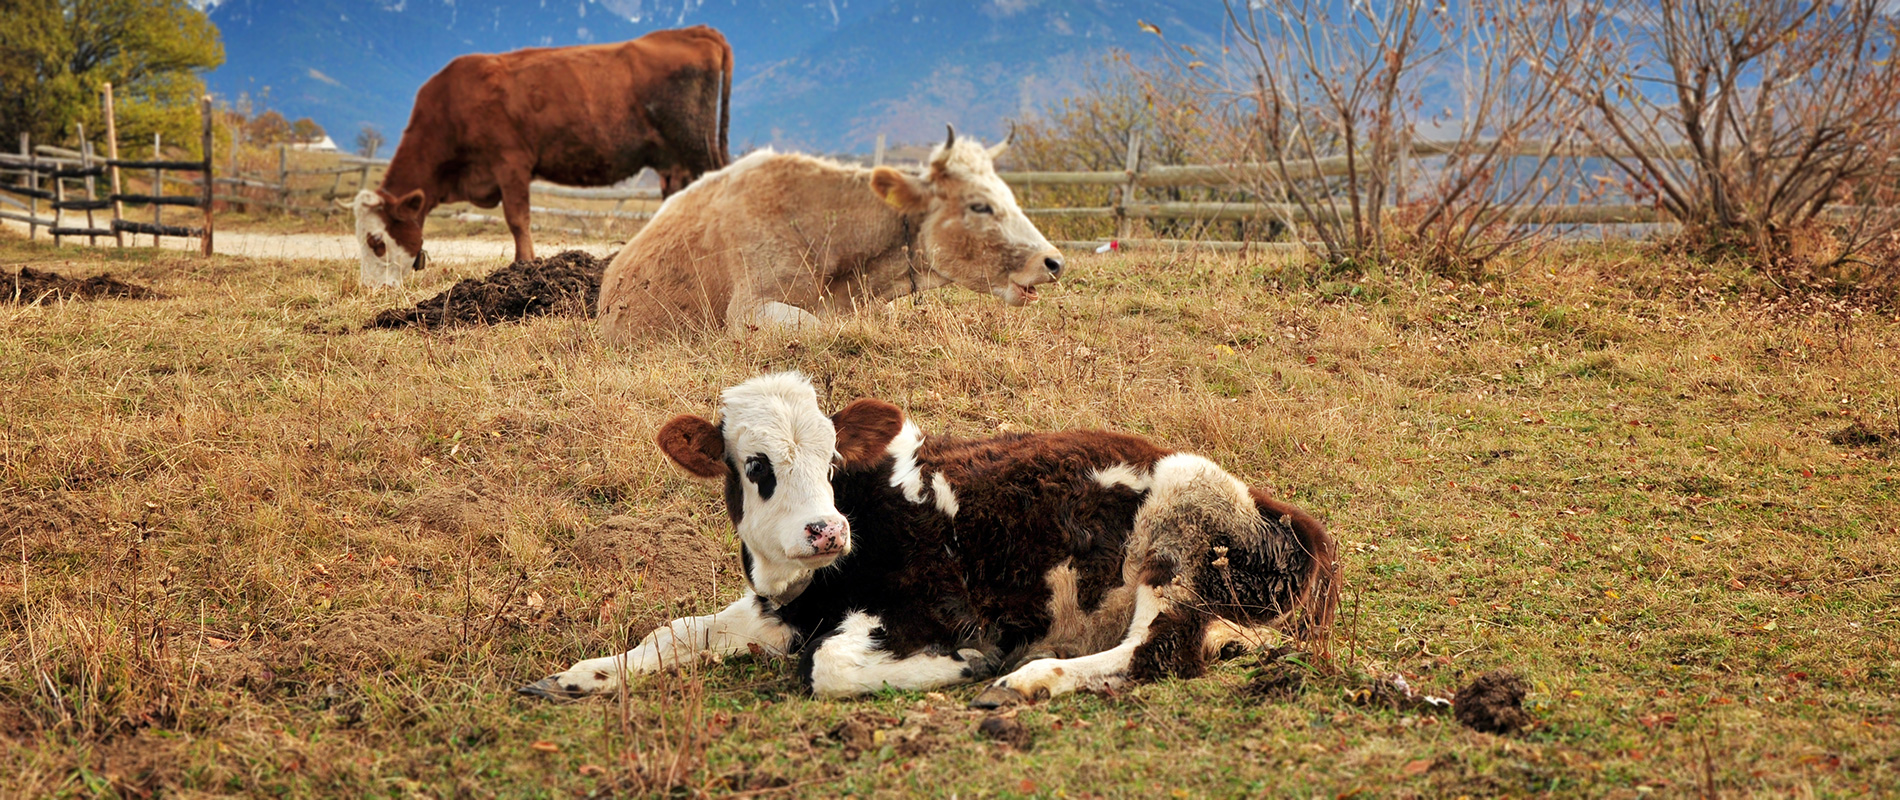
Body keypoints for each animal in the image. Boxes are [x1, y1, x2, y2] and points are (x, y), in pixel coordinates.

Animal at [347, 25, 733, 288]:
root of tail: (695, 31)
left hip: (696, 146)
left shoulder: (511, 162)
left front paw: (524, 267)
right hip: (677, 158)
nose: (370, 288)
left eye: (376, 242)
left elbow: (517, 219)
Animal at [520, 372, 1339, 707]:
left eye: (832, 459)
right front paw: (580, 676)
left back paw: (1026, 680)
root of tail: (1285, 512)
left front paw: (968, 666)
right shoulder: (779, 607)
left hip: (1178, 535)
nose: (825, 530)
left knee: (1155, 651)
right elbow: (674, 633)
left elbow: (827, 668)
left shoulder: (939, 610)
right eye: (754, 467)